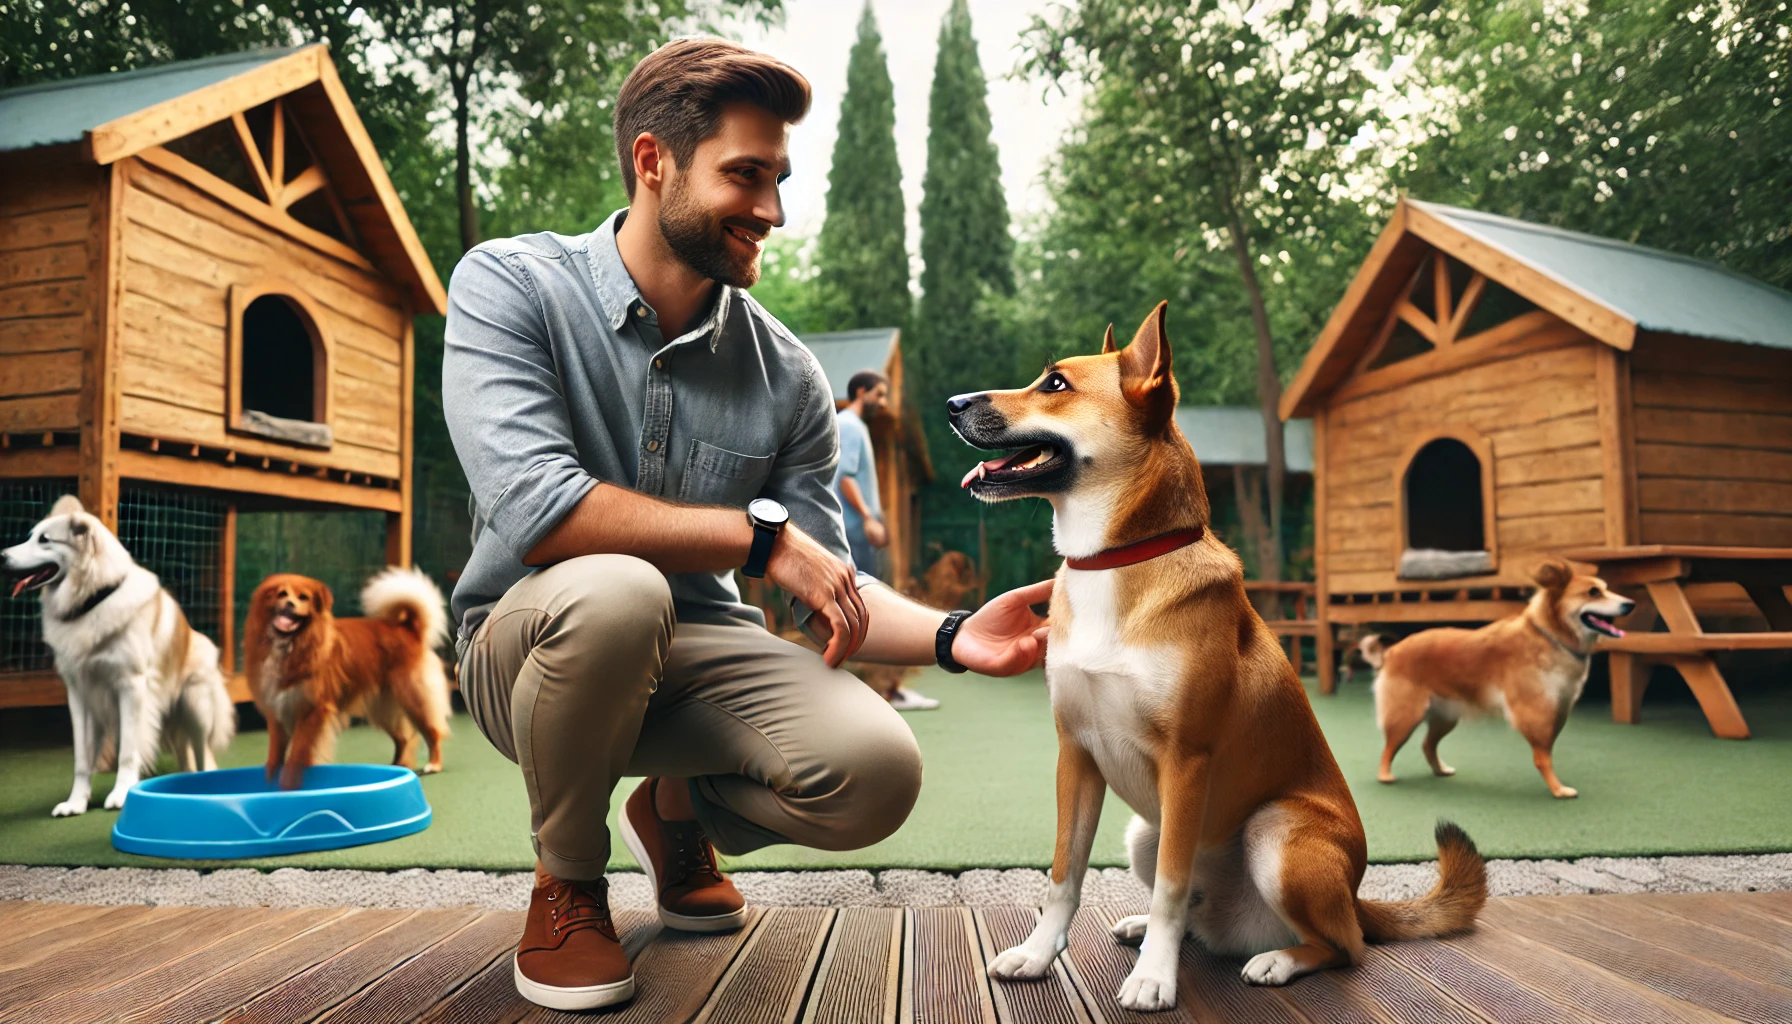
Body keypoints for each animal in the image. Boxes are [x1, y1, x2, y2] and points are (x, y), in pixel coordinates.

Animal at [245, 566, 451, 789]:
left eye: (303, 598)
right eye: (282, 594)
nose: (290, 604)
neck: (290, 643)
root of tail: (408, 629)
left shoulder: (313, 709)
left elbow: (299, 749)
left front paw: (290, 781)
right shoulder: (277, 710)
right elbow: (276, 753)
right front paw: (270, 779)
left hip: (413, 698)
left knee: (433, 732)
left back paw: (433, 764)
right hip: (383, 707)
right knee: (404, 738)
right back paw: (398, 766)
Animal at [953, 303, 1483, 1011]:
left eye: (1056, 384)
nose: (951, 403)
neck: (1117, 562)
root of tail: (1355, 899)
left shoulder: (1187, 762)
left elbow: (1172, 886)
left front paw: (1154, 978)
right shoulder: (1076, 755)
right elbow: (1065, 874)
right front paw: (1040, 955)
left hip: (1275, 831)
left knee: (1343, 947)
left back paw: (1277, 960)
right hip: (1144, 832)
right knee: (1200, 914)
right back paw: (1151, 927)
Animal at [1361, 555, 1634, 796]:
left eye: (1606, 589)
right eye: (1593, 592)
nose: (1630, 604)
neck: (1550, 637)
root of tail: (1393, 651)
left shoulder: (1559, 708)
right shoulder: (1536, 712)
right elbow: (1543, 757)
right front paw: (1557, 789)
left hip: (1445, 717)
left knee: (1427, 745)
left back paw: (1440, 770)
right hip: (1406, 716)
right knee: (1389, 747)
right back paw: (1384, 775)